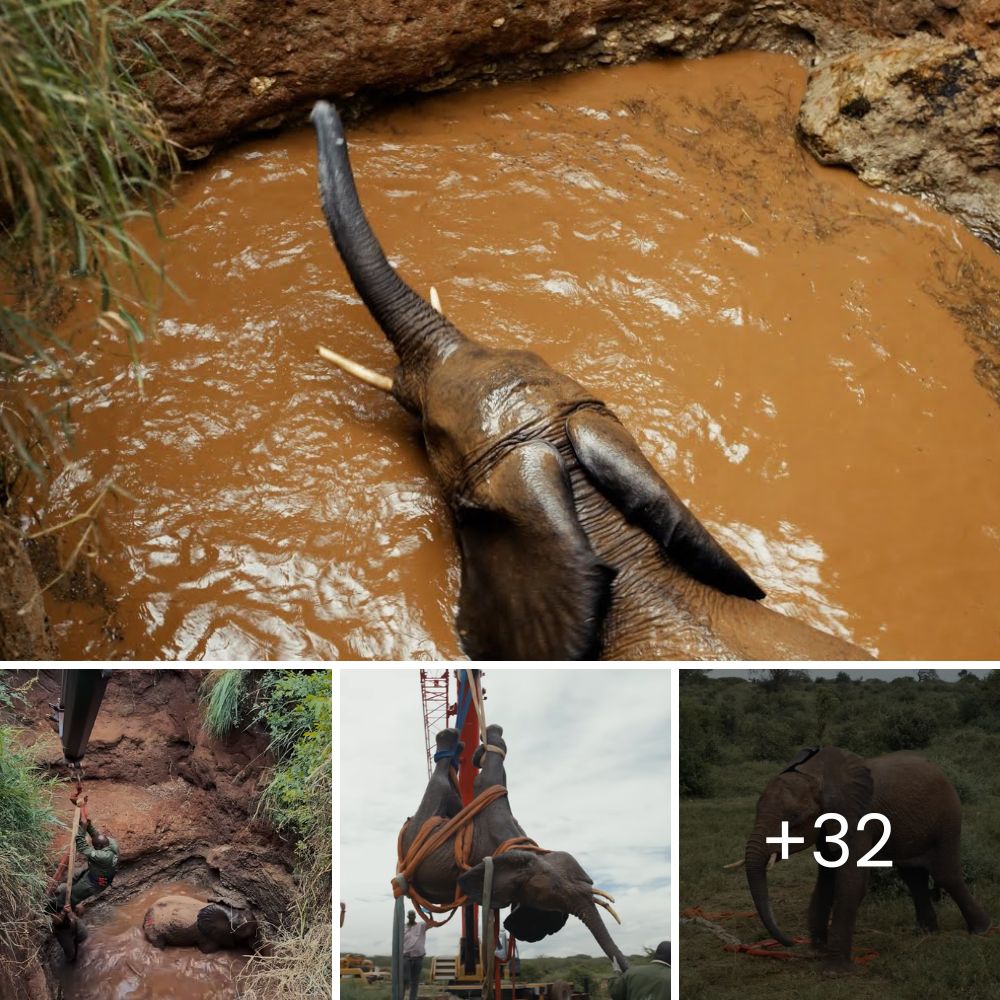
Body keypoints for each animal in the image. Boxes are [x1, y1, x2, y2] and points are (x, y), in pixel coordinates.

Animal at [400, 728, 628, 968]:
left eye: (588, 882)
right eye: (555, 892)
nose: (622, 971)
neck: (524, 851)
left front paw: (484, 749)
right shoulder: (494, 820)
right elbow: (486, 780)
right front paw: (490, 740)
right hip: (417, 829)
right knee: (440, 785)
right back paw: (449, 738)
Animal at [748, 752, 988, 968]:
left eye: (794, 817)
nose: (790, 942)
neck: (817, 774)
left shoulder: (858, 820)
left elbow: (852, 883)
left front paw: (834, 970)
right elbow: (826, 881)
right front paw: (817, 953)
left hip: (948, 820)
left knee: (946, 874)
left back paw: (981, 930)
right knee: (913, 876)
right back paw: (925, 933)